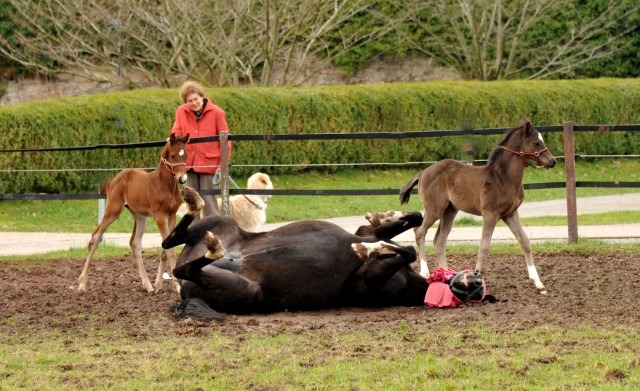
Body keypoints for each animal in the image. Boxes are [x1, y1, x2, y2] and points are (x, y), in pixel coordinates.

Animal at [162, 188, 492, 324]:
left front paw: (367, 249)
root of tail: (182, 295)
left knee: (183, 268)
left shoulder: (365, 280)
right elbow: (407, 222)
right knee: (171, 241)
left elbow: (407, 251)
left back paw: (211, 245)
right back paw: (192, 201)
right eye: (476, 281)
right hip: (222, 224)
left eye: (477, 290)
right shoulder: (363, 231)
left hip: (245, 290)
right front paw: (382, 221)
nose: (475, 278)